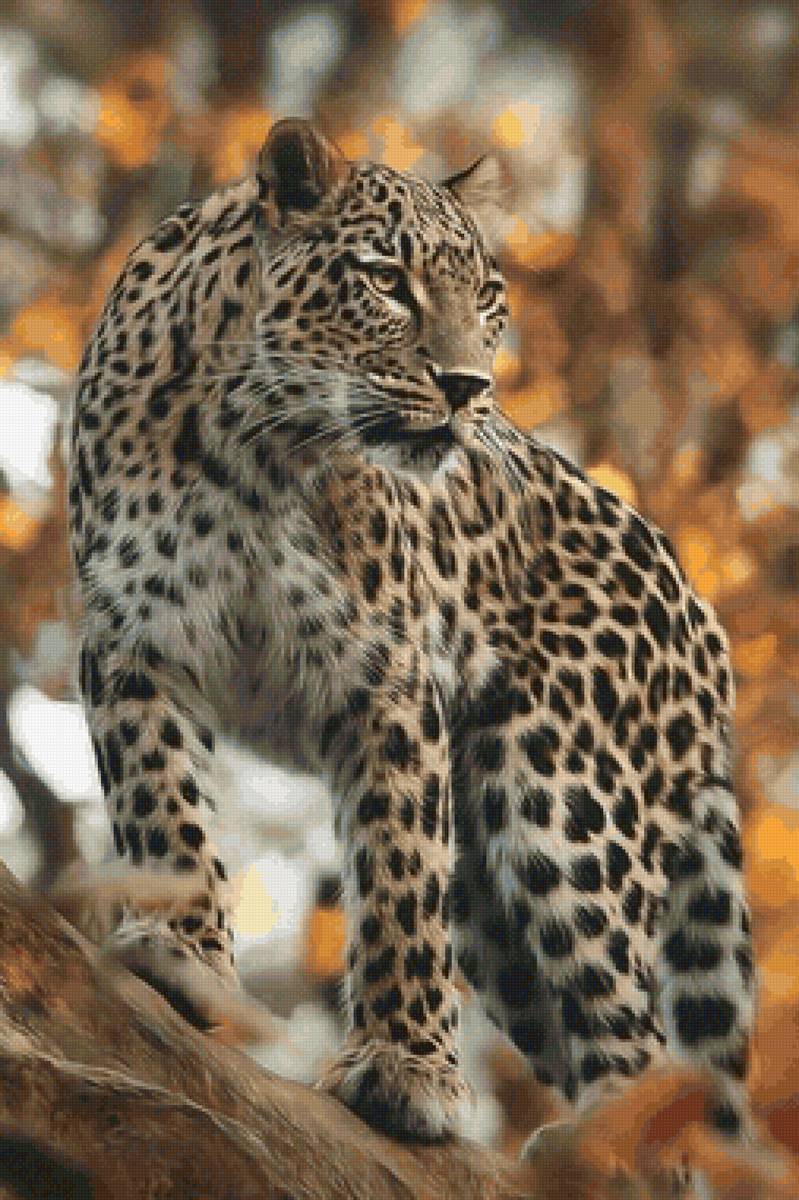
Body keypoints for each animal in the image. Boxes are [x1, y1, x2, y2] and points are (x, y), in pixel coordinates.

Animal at [67, 118, 756, 1147]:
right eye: (387, 280)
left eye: (487, 300)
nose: (467, 385)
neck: (254, 450)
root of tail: (703, 627)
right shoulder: (136, 638)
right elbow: (163, 804)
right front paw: (182, 955)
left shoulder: (386, 676)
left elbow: (397, 874)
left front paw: (408, 1070)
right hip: (496, 906)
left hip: (564, 802)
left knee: (635, 1039)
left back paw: (599, 1154)